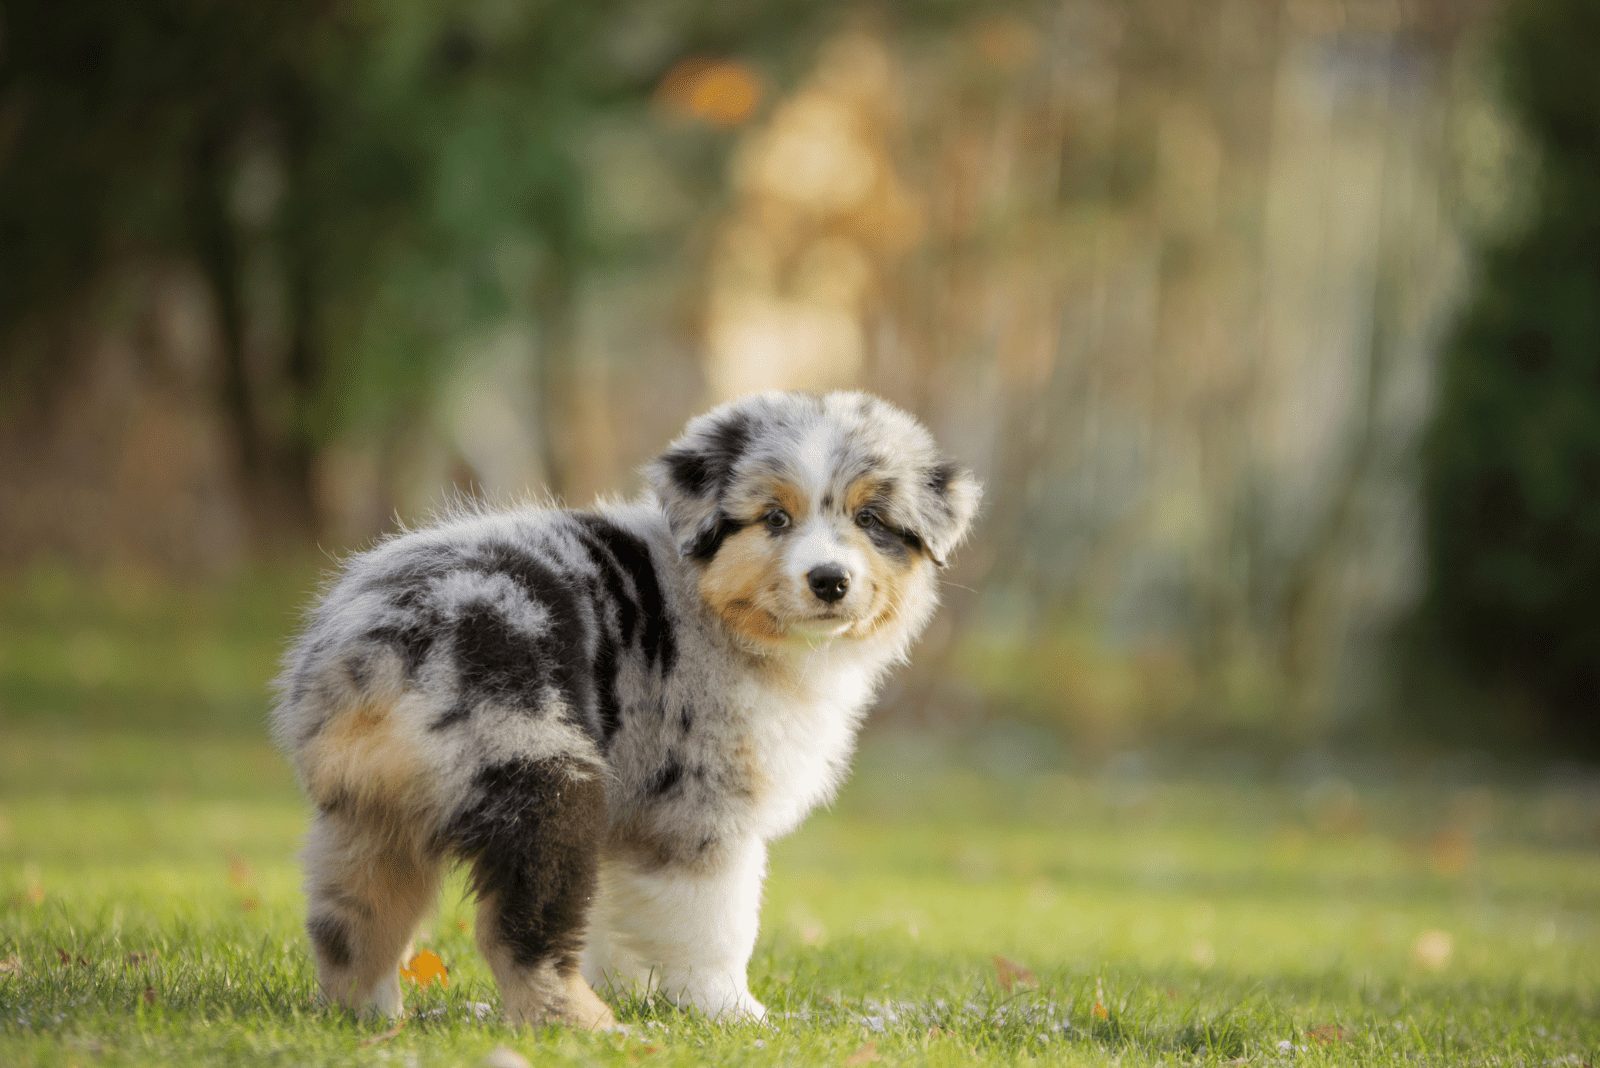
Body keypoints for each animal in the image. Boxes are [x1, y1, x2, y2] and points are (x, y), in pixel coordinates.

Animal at [272, 390, 972, 1023]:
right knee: (517, 931)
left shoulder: (634, 819)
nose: (830, 580)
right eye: (775, 518)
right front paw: (732, 1013)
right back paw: (585, 1024)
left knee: (351, 926)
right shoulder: (699, 806)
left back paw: (369, 1020)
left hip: (369, 813)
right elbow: (717, 922)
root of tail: (373, 642)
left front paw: (639, 989)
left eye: (870, 520)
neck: (718, 609)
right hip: (540, 773)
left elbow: (623, 919)